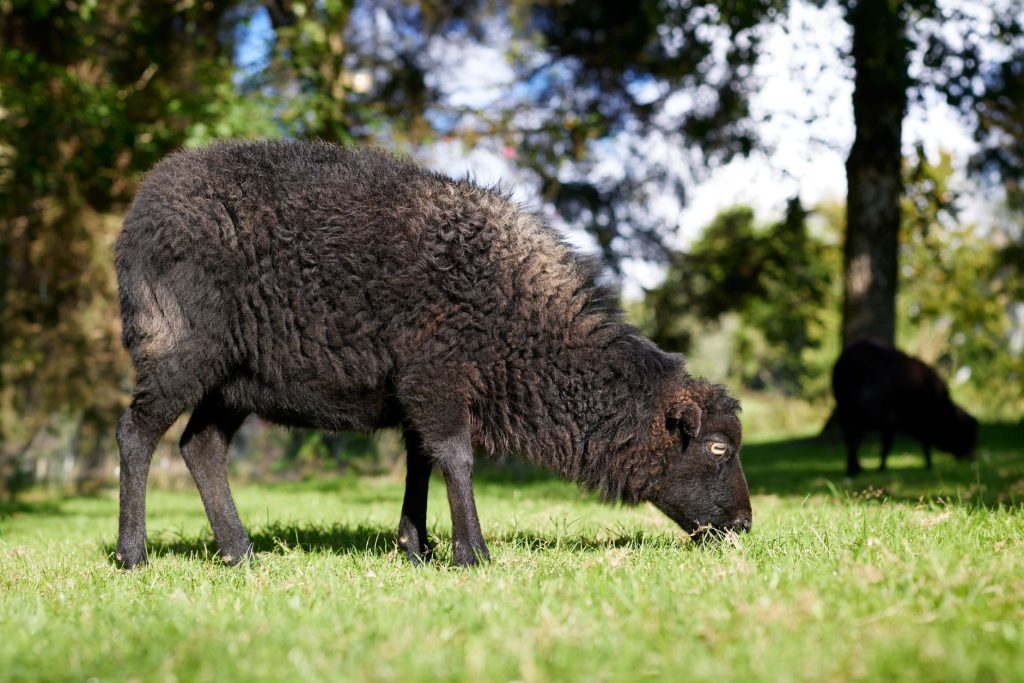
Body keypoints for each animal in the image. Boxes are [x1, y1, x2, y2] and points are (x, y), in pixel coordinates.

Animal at [113, 139, 751, 567]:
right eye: (718, 447)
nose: (745, 525)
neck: (527, 330)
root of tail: (140, 209)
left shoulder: (420, 390)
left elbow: (421, 459)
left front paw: (415, 547)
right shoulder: (438, 373)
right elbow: (456, 457)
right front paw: (473, 552)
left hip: (235, 378)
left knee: (201, 448)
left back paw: (240, 552)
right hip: (179, 347)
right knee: (136, 434)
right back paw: (132, 553)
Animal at [832, 339, 978, 477]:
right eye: (966, 431)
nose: (972, 457)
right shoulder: (898, 421)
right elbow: (916, 444)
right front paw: (928, 466)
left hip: (845, 412)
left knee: (850, 438)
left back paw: (855, 468)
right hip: (861, 414)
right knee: (854, 439)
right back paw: (854, 470)